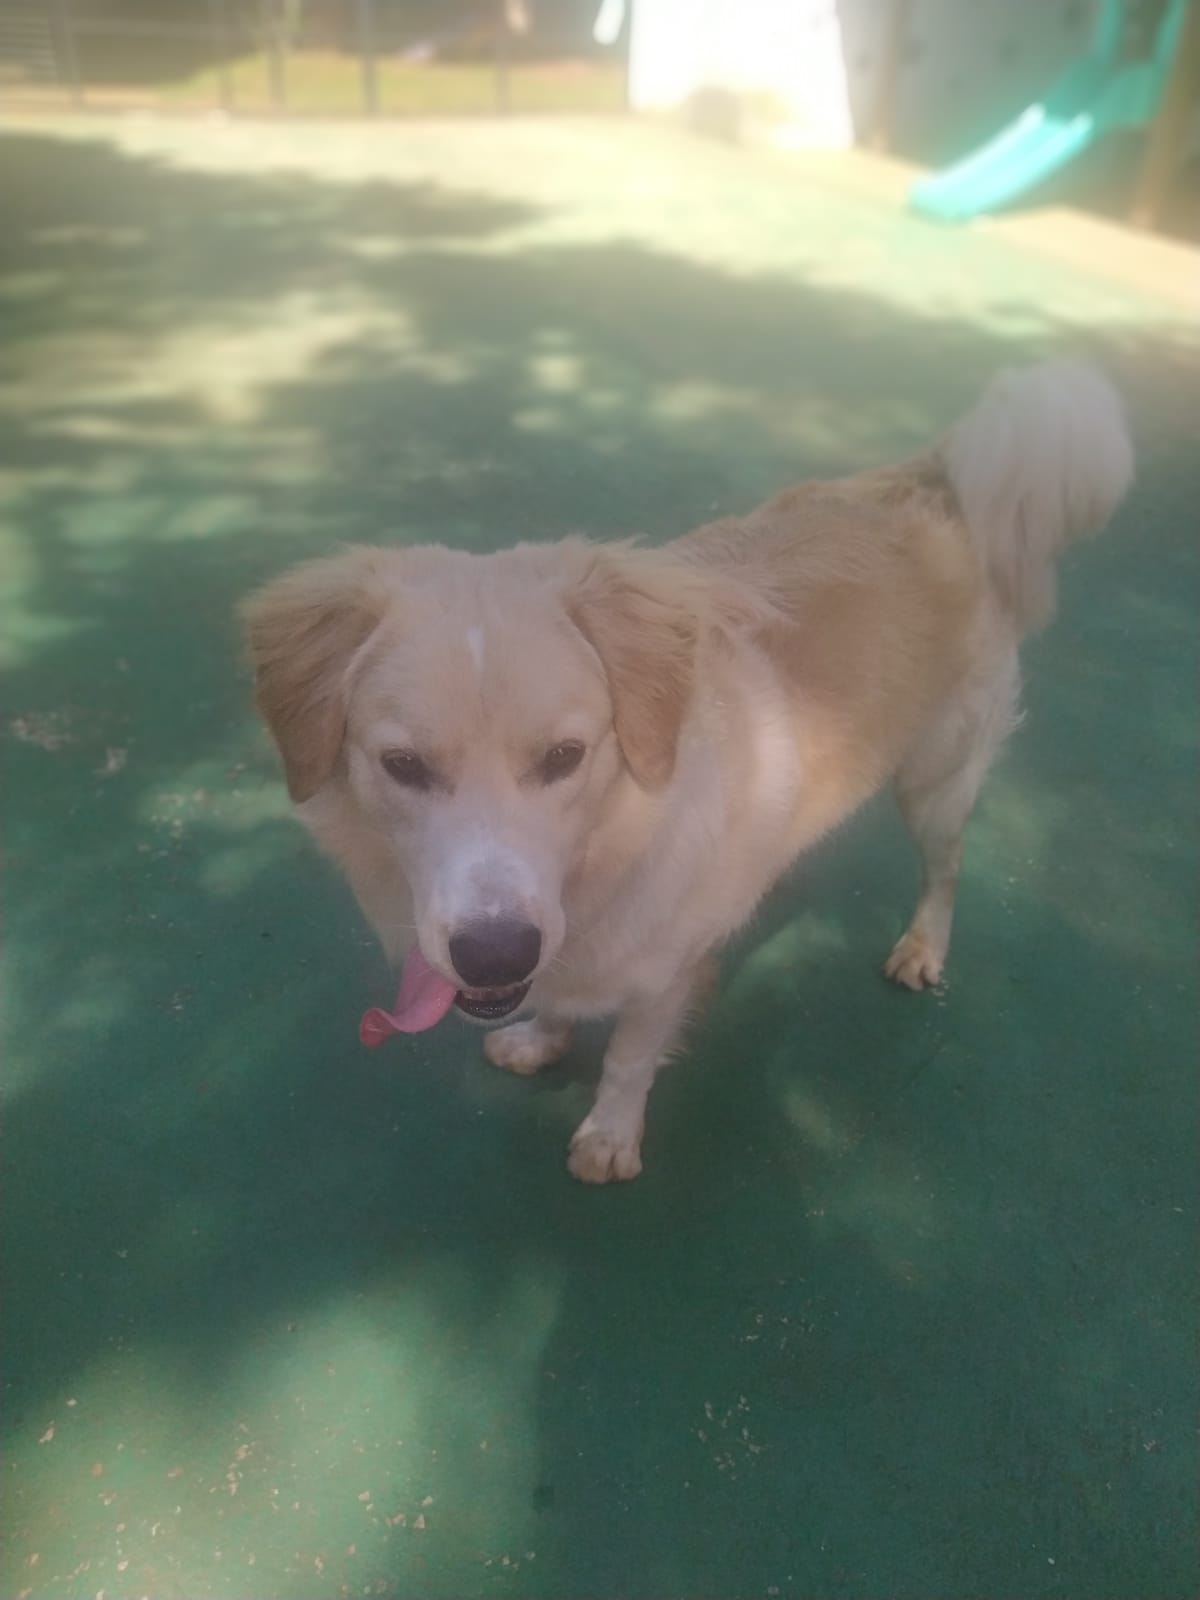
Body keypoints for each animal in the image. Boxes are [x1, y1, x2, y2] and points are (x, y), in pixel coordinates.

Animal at [243, 363, 1132, 1183]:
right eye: (403, 765)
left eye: (565, 757)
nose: (495, 956)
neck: (607, 855)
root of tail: (936, 478)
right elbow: (560, 1002)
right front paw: (541, 1039)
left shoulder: (662, 977)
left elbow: (629, 1058)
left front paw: (609, 1138)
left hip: (934, 783)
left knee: (945, 869)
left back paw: (922, 947)